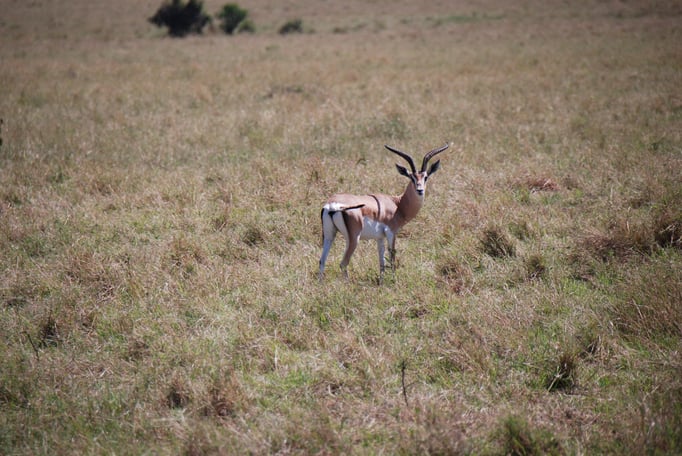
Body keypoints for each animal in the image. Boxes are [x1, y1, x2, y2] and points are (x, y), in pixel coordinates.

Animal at [319, 143, 448, 281]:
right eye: (412, 177)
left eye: (425, 177)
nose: (420, 190)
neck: (397, 204)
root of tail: (332, 205)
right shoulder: (391, 232)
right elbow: (392, 257)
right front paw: (394, 280)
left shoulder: (379, 237)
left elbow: (381, 261)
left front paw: (381, 281)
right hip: (353, 238)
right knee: (343, 263)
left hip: (329, 235)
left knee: (322, 261)